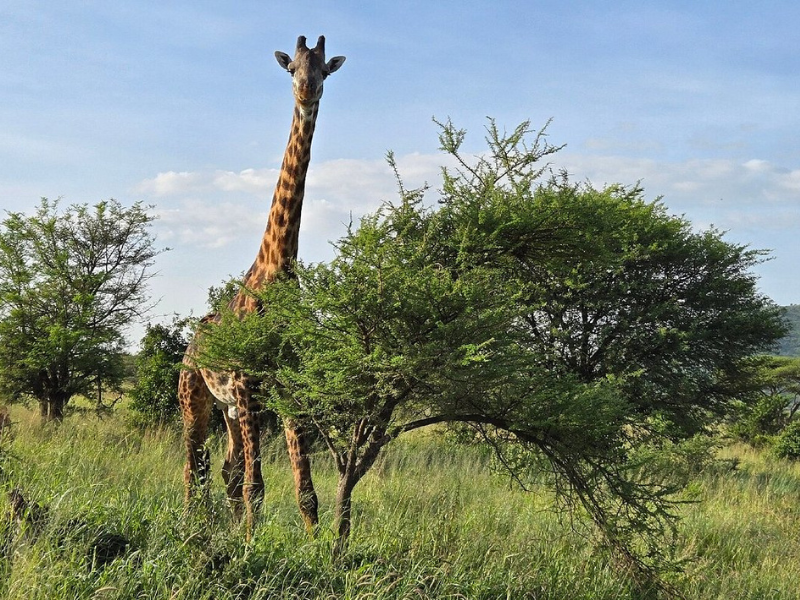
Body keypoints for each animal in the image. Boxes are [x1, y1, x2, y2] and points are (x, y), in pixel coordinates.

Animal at [178, 35, 345, 535]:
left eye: (324, 70)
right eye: (291, 68)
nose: (307, 91)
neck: (277, 271)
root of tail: (190, 346)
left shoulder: (287, 385)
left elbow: (304, 489)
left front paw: (317, 549)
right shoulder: (248, 381)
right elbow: (257, 485)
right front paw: (252, 546)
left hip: (230, 410)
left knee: (227, 468)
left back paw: (223, 529)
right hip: (196, 400)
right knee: (195, 465)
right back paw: (190, 528)